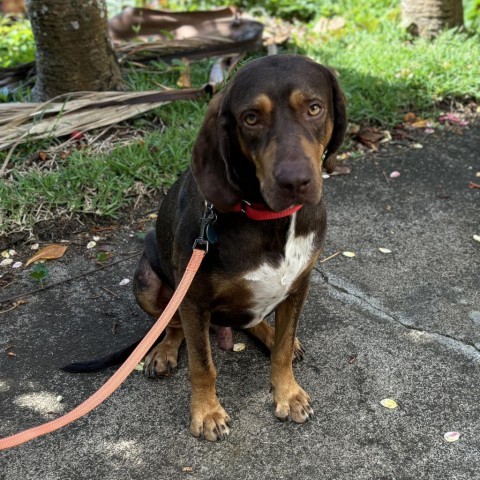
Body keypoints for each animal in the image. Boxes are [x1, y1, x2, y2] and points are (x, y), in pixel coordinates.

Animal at [64, 55, 348, 442]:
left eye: (314, 108)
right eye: (251, 118)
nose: (295, 182)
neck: (268, 218)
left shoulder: (299, 286)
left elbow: (283, 349)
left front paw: (287, 393)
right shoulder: (193, 299)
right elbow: (202, 365)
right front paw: (207, 413)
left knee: (255, 323)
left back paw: (269, 334)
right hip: (147, 282)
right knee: (172, 325)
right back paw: (164, 351)